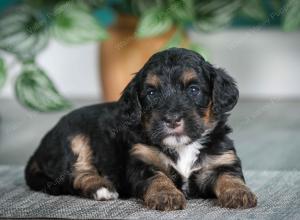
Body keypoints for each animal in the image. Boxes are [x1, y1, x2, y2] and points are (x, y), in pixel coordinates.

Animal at [25, 48, 258, 211]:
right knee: (78, 174)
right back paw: (102, 189)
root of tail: (38, 150)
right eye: (152, 93)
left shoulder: (223, 160)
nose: (172, 119)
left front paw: (240, 194)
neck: (182, 146)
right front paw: (166, 196)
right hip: (73, 139)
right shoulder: (141, 162)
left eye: (193, 90)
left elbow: (231, 177)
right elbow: (158, 178)